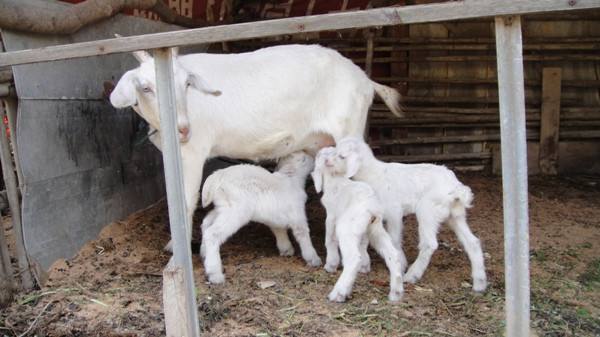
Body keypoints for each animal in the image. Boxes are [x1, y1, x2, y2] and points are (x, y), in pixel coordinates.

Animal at [110, 44, 406, 249]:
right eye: (145, 88)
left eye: (187, 84)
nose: (183, 129)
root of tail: (366, 80)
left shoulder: (193, 150)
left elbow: (185, 201)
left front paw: (175, 251)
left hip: (349, 127)